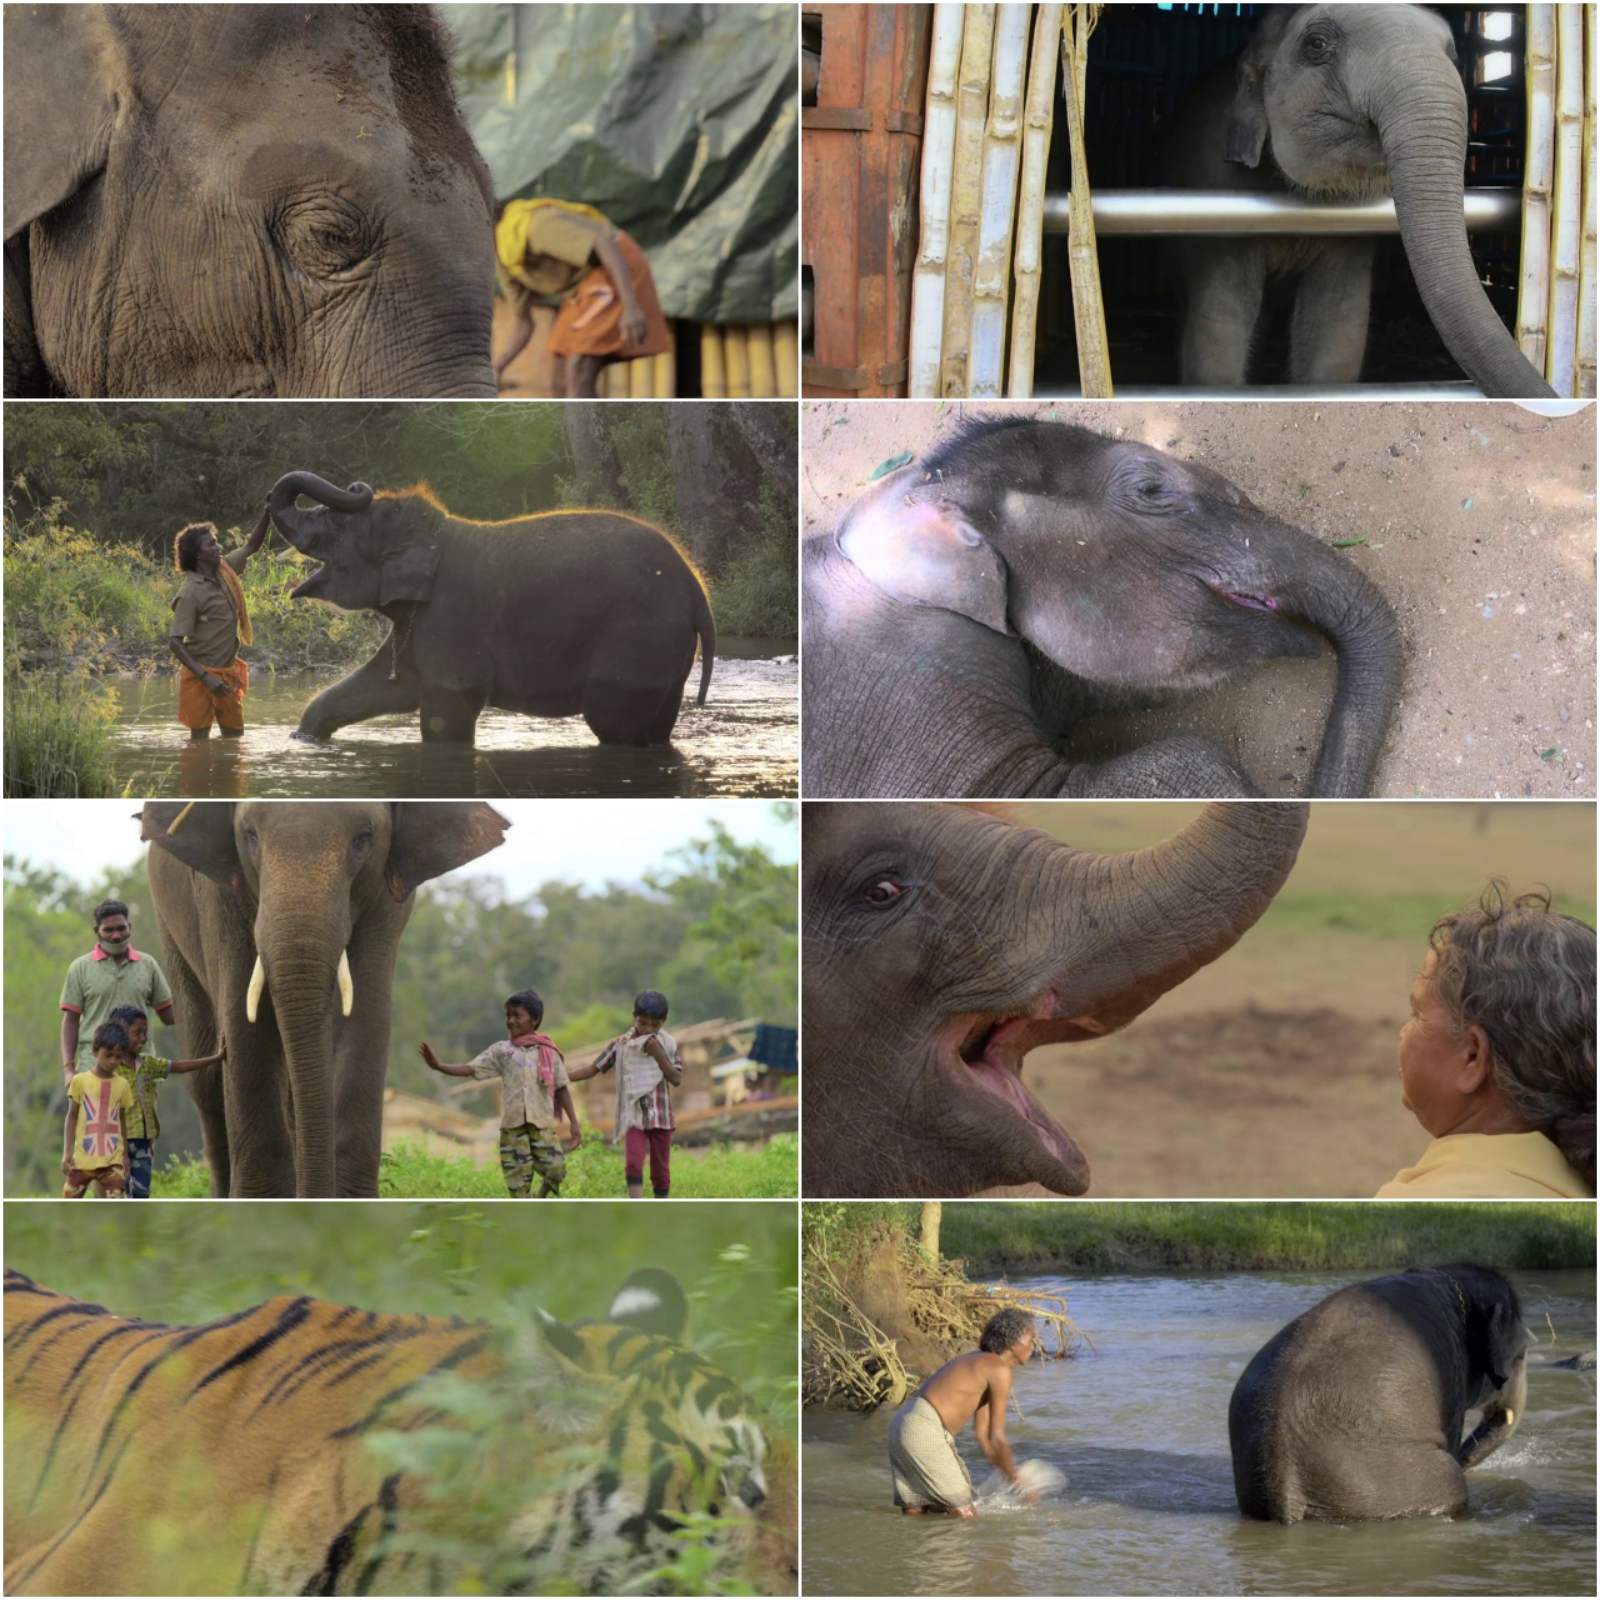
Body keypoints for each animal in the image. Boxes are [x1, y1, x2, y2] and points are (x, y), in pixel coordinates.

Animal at [141, 800, 508, 1197]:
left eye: (363, 838)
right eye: (250, 835)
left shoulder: (387, 896)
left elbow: (364, 1017)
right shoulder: (219, 896)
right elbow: (244, 1023)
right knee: (207, 1082)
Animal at [267, 471, 717, 746]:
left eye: (336, 527)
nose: (359, 485)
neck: (437, 533)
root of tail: (696, 589)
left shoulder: (453, 614)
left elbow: (447, 709)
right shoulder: (422, 619)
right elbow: (389, 686)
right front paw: (305, 738)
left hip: (640, 634)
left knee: (613, 720)